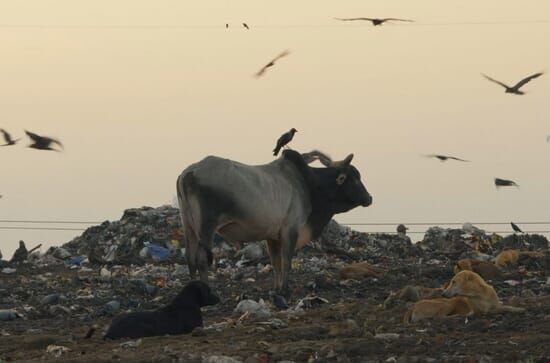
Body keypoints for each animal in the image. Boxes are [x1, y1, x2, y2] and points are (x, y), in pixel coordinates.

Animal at [179, 149, 374, 294]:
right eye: (355, 179)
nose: (369, 198)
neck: (310, 184)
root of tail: (190, 172)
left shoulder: (272, 236)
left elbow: (276, 263)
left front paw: (276, 289)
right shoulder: (291, 230)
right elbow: (286, 261)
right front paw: (284, 290)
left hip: (189, 226)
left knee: (190, 257)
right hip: (206, 226)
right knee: (201, 259)